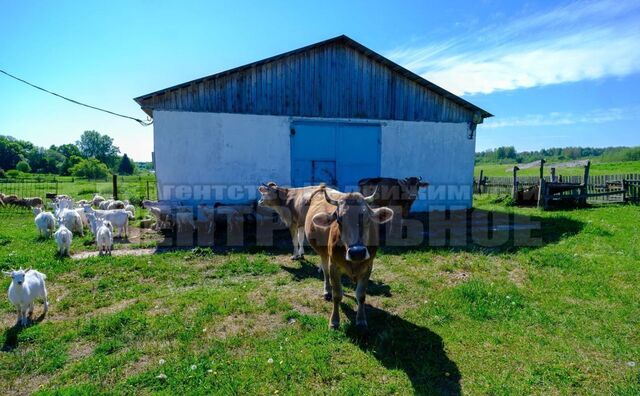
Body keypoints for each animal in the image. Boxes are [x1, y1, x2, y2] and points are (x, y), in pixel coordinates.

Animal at [306, 187, 396, 330]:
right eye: (339, 220)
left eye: (367, 219)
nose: (357, 252)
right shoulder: (334, 267)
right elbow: (337, 295)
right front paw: (334, 321)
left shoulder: (368, 267)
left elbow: (361, 295)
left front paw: (361, 320)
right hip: (323, 253)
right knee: (325, 271)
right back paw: (327, 291)